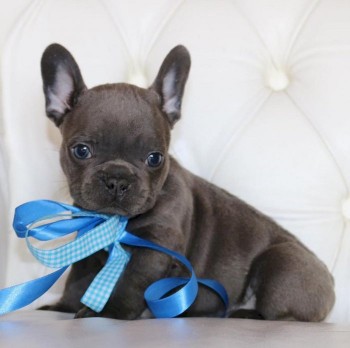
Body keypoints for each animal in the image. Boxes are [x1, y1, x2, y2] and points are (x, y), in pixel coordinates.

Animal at [39, 43, 334, 320]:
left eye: (155, 158)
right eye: (81, 151)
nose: (117, 179)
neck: (113, 222)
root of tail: (330, 283)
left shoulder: (154, 248)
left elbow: (129, 283)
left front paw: (108, 312)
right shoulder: (86, 241)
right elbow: (77, 278)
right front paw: (63, 306)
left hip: (282, 264)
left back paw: (248, 313)